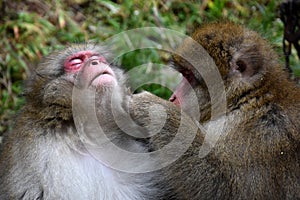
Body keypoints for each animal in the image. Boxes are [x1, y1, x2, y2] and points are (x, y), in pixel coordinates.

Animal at [132, 21, 300, 198]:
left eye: (189, 76)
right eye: (184, 74)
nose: (173, 98)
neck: (243, 101)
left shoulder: (262, 135)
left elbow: (229, 191)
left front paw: (155, 108)